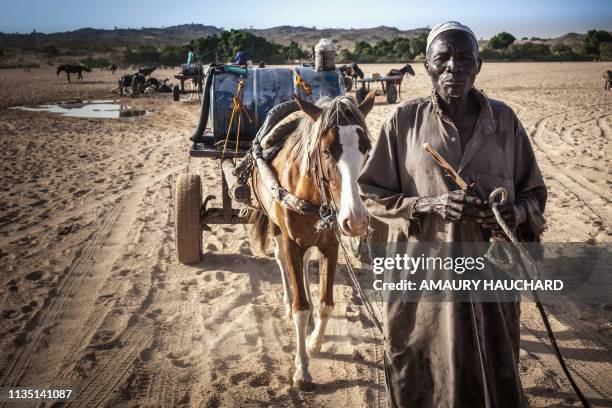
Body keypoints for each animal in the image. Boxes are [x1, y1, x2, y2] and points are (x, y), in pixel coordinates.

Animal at [250, 91, 376, 390]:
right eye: (327, 150)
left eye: (366, 148)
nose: (356, 221)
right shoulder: (291, 242)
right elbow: (301, 309)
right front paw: (302, 370)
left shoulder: (331, 244)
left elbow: (325, 304)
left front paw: (314, 343)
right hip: (276, 227)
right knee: (281, 260)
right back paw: (287, 300)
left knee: (306, 263)